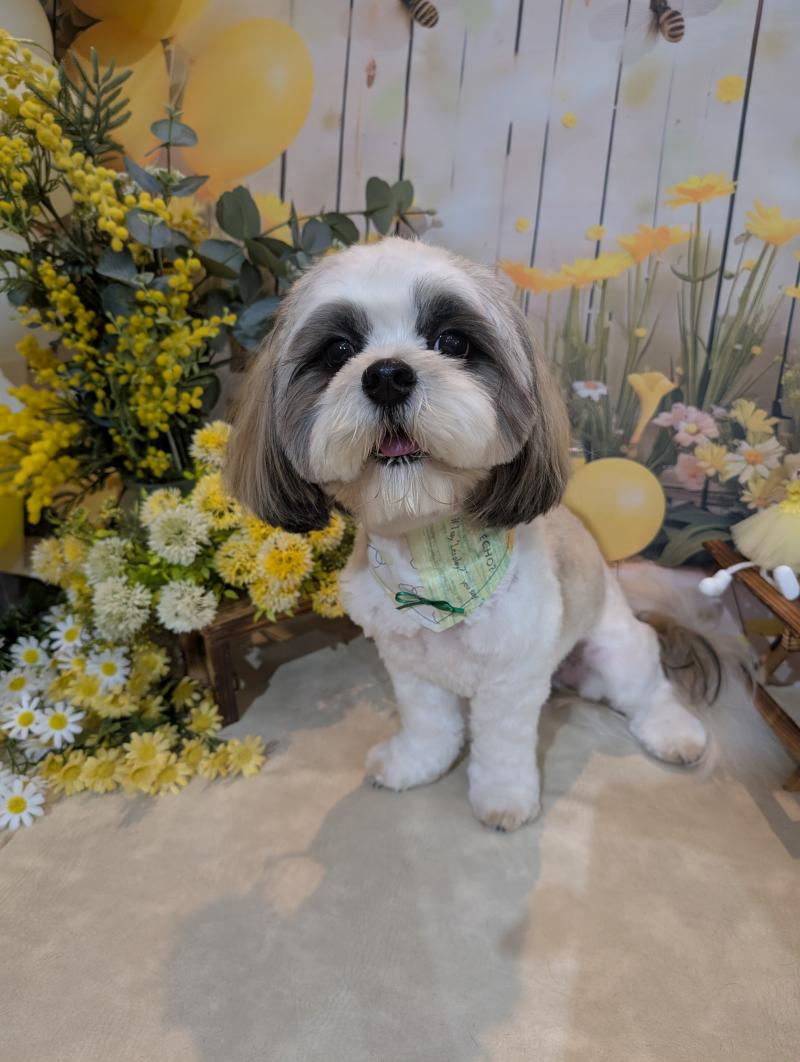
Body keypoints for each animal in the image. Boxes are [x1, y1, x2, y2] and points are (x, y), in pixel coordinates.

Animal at [226, 237, 709, 831]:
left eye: (452, 342)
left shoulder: (510, 680)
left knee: (648, 690)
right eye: (338, 350)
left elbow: (500, 746)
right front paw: (416, 764)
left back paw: (676, 733)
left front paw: (504, 800)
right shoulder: (408, 663)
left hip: (616, 650)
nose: (386, 375)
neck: (433, 566)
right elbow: (429, 723)